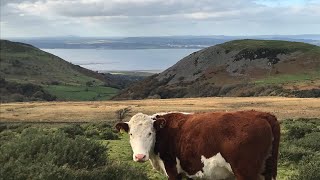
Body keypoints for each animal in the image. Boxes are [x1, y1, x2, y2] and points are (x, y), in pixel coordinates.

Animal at [115, 109, 280, 180]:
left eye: (150, 133)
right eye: (131, 134)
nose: (139, 156)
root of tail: (262, 114)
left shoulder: (173, 171)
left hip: (246, 173)